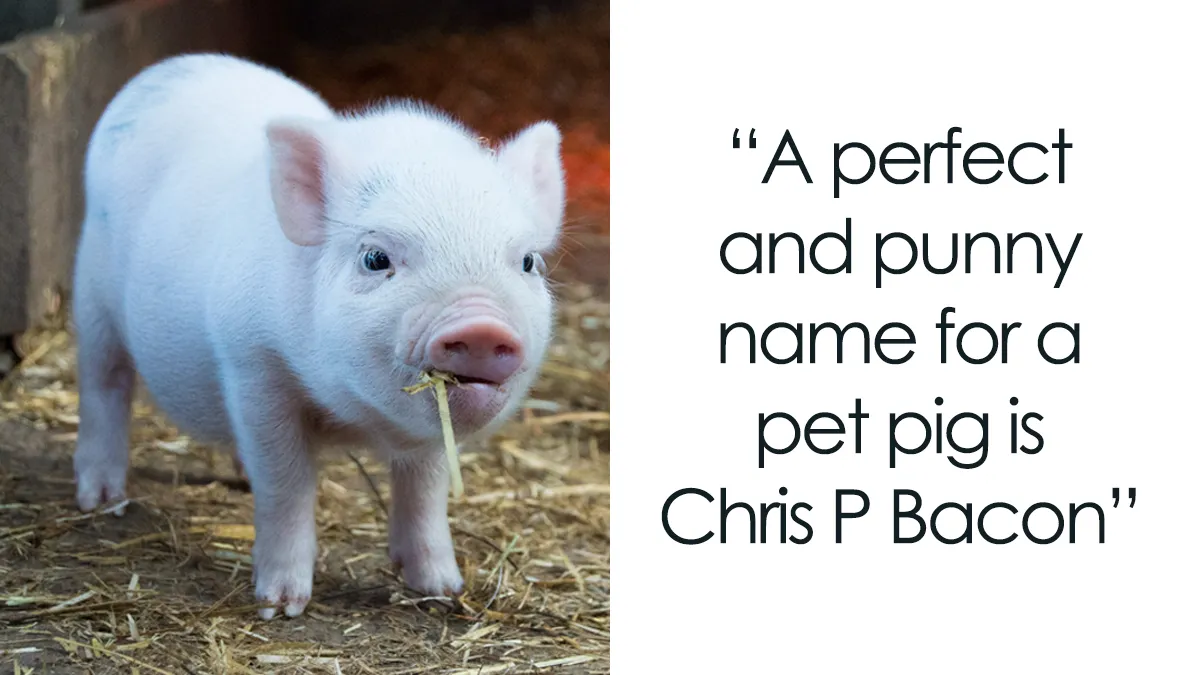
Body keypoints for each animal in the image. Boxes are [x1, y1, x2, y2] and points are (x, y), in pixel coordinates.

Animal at [71, 53, 565, 619]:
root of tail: (172, 66)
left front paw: (443, 590)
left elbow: (425, 489)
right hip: (91, 295)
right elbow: (286, 484)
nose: (481, 325)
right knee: (104, 383)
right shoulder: (252, 365)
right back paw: (100, 500)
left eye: (527, 262)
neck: (353, 418)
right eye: (375, 258)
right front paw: (280, 606)